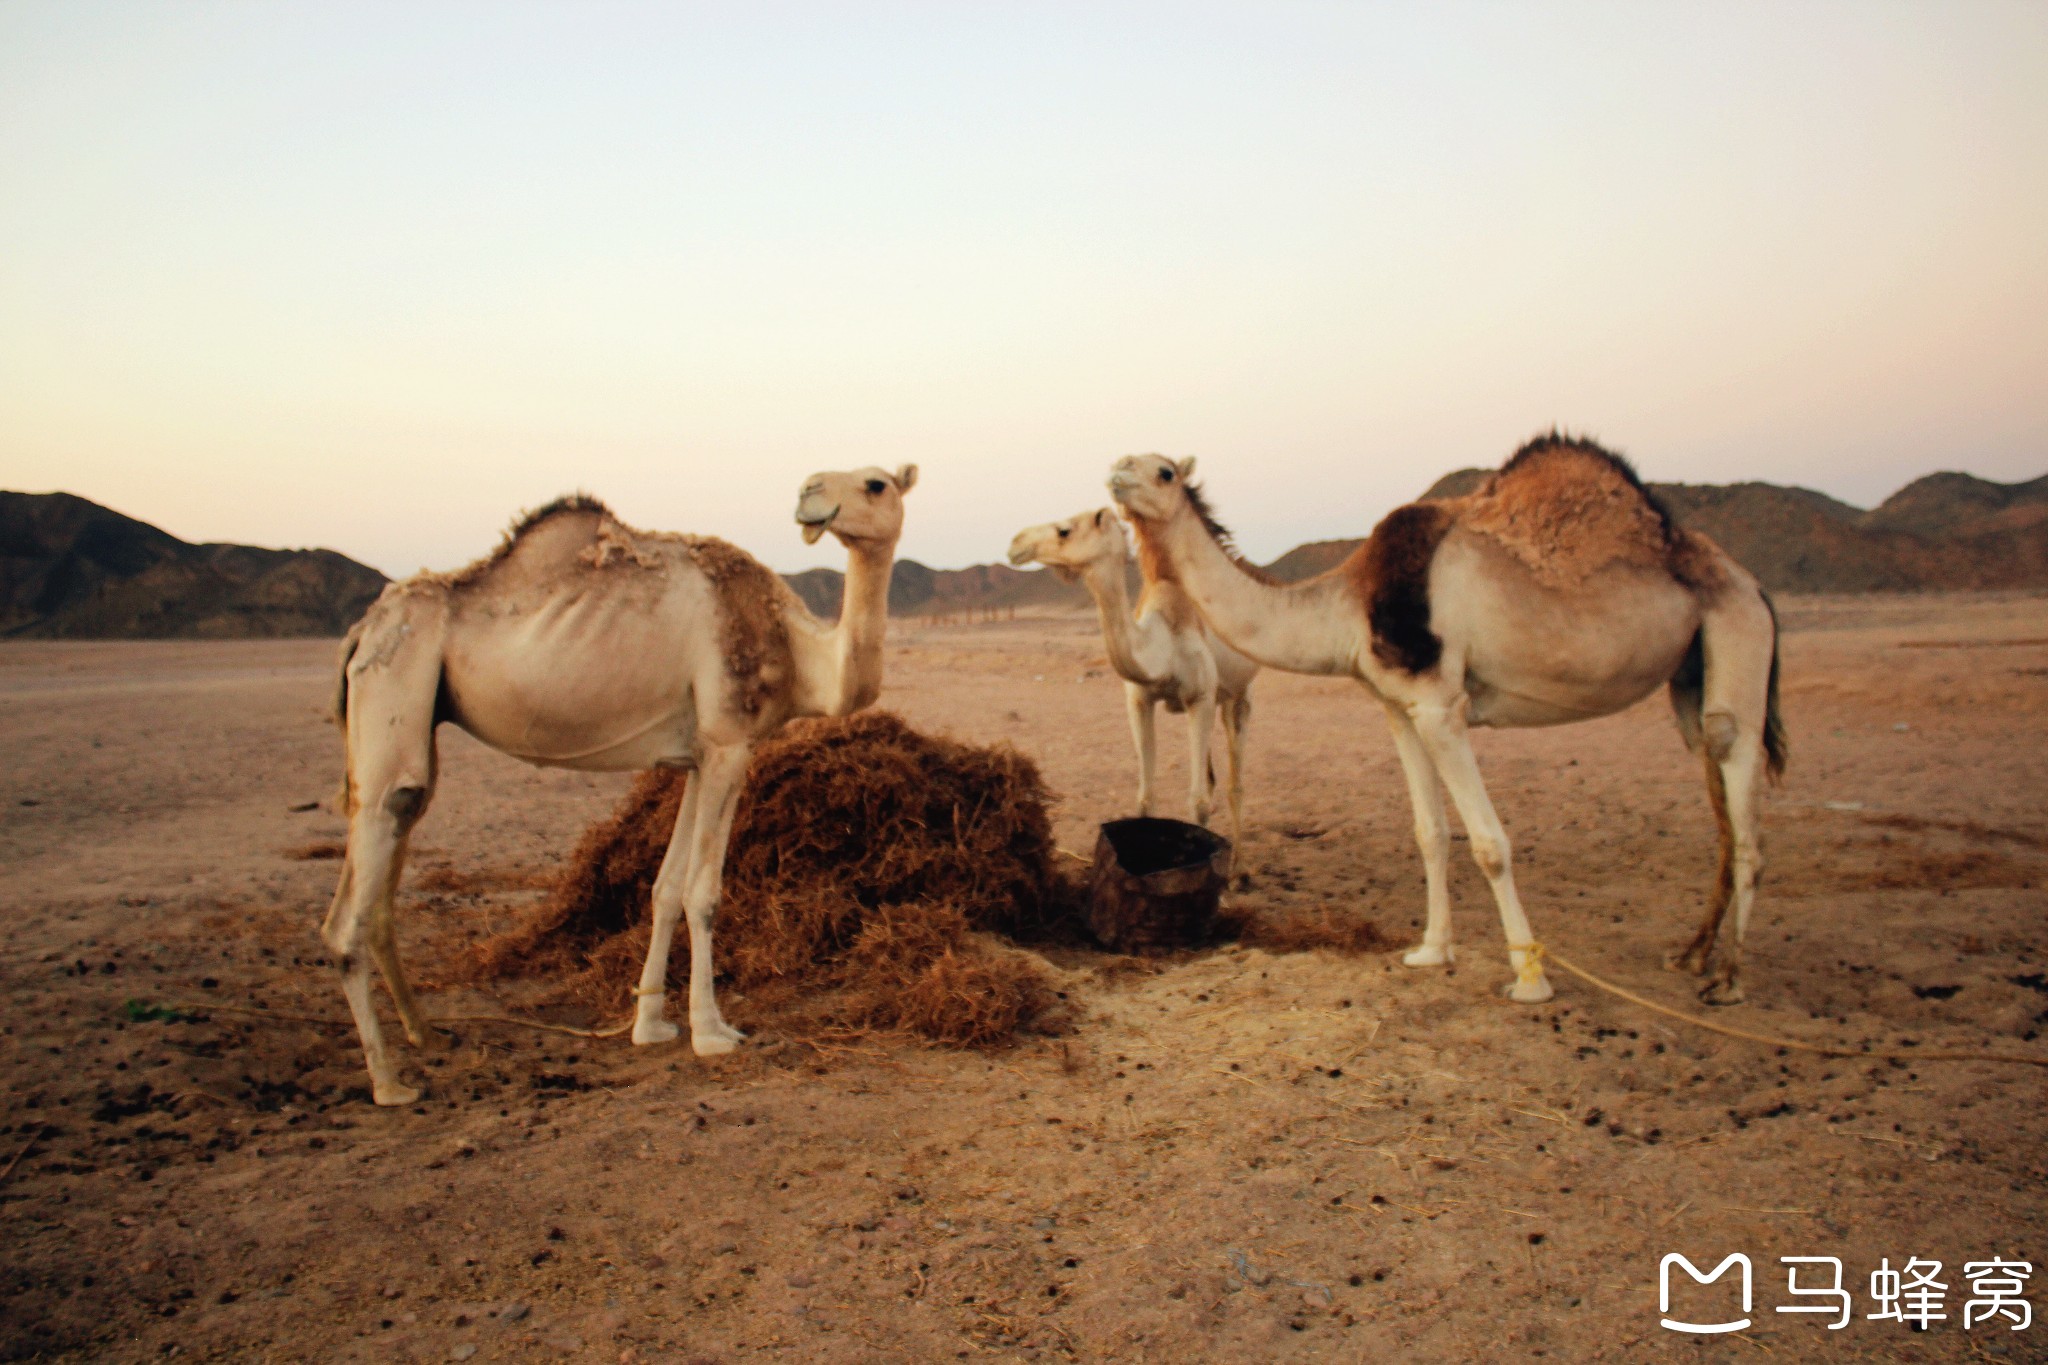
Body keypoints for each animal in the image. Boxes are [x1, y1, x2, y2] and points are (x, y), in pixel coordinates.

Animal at [327, 464, 921, 1105]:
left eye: (876, 484)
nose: (810, 492)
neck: (794, 647)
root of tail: (362, 628)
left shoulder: (698, 755)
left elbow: (665, 889)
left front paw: (651, 1024)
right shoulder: (730, 743)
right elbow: (704, 894)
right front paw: (712, 1033)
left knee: (389, 862)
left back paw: (426, 1034)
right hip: (397, 677)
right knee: (354, 894)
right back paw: (390, 1081)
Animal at [1003, 509, 1253, 843]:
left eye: (1065, 530)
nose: (1015, 543)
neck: (1163, 643)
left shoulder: (1199, 697)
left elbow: (1198, 803)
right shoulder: (1139, 701)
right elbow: (1145, 799)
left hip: (1238, 692)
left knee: (1234, 781)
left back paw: (1239, 858)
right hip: (1217, 698)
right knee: (1213, 778)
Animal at [1114, 435, 1785, 1002]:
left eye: (1164, 470)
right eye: (1128, 458)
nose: (1116, 473)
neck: (1347, 606)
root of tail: (1753, 583)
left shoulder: (1442, 707)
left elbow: (1489, 843)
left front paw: (1530, 978)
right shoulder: (1398, 707)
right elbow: (1430, 833)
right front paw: (1431, 951)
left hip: (1738, 634)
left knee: (1743, 801)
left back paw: (1728, 977)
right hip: (1690, 677)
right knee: (1718, 798)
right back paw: (1692, 954)